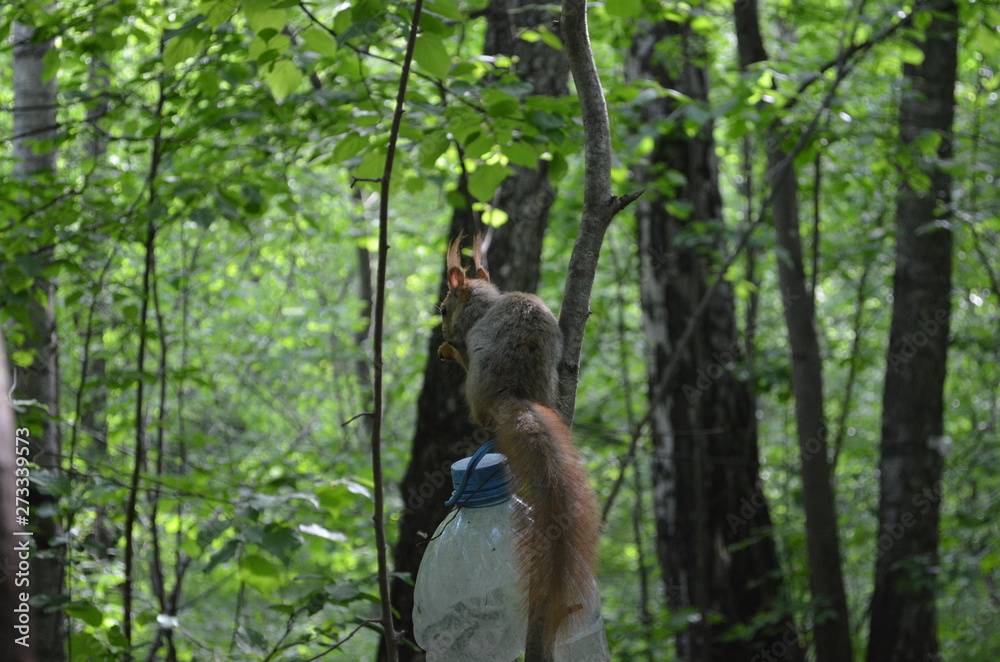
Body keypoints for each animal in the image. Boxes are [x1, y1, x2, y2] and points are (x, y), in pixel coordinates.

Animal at [437, 233, 601, 661]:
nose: (442, 332)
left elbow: (460, 349)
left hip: (474, 392)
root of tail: (513, 392)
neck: (483, 302)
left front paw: (448, 349)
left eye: (444, 307)